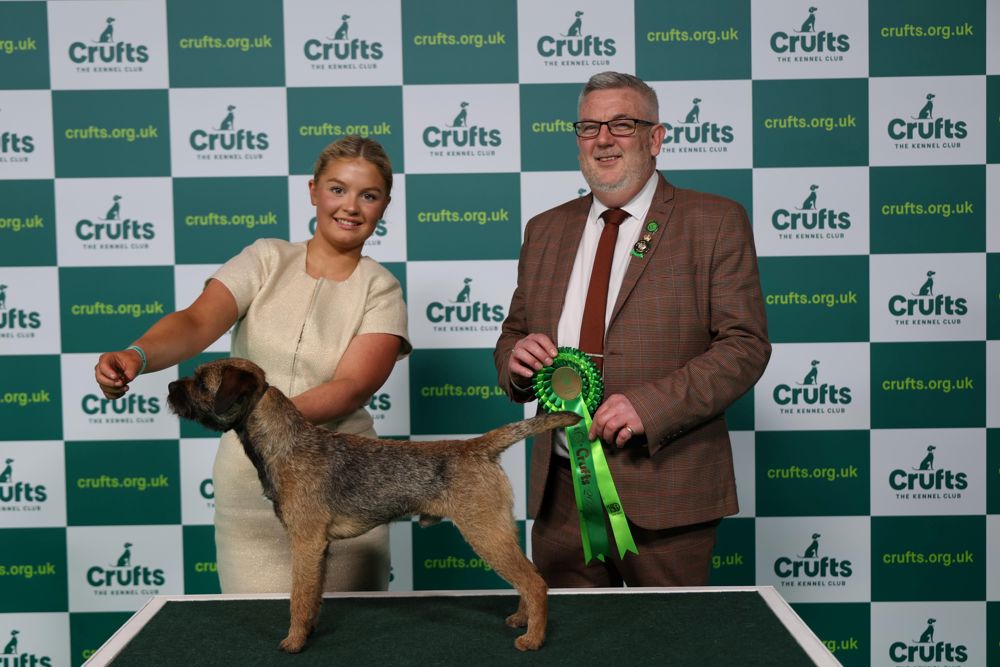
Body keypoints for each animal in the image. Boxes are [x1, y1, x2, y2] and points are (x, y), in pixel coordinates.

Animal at [168, 360, 580, 652]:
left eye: (201, 382)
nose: (170, 387)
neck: (285, 444)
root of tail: (479, 447)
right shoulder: (319, 548)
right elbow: (313, 595)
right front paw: (309, 631)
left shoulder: (305, 543)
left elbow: (298, 596)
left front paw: (294, 641)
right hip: (500, 528)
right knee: (528, 577)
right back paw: (522, 620)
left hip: (485, 532)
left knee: (535, 582)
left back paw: (533, 639)